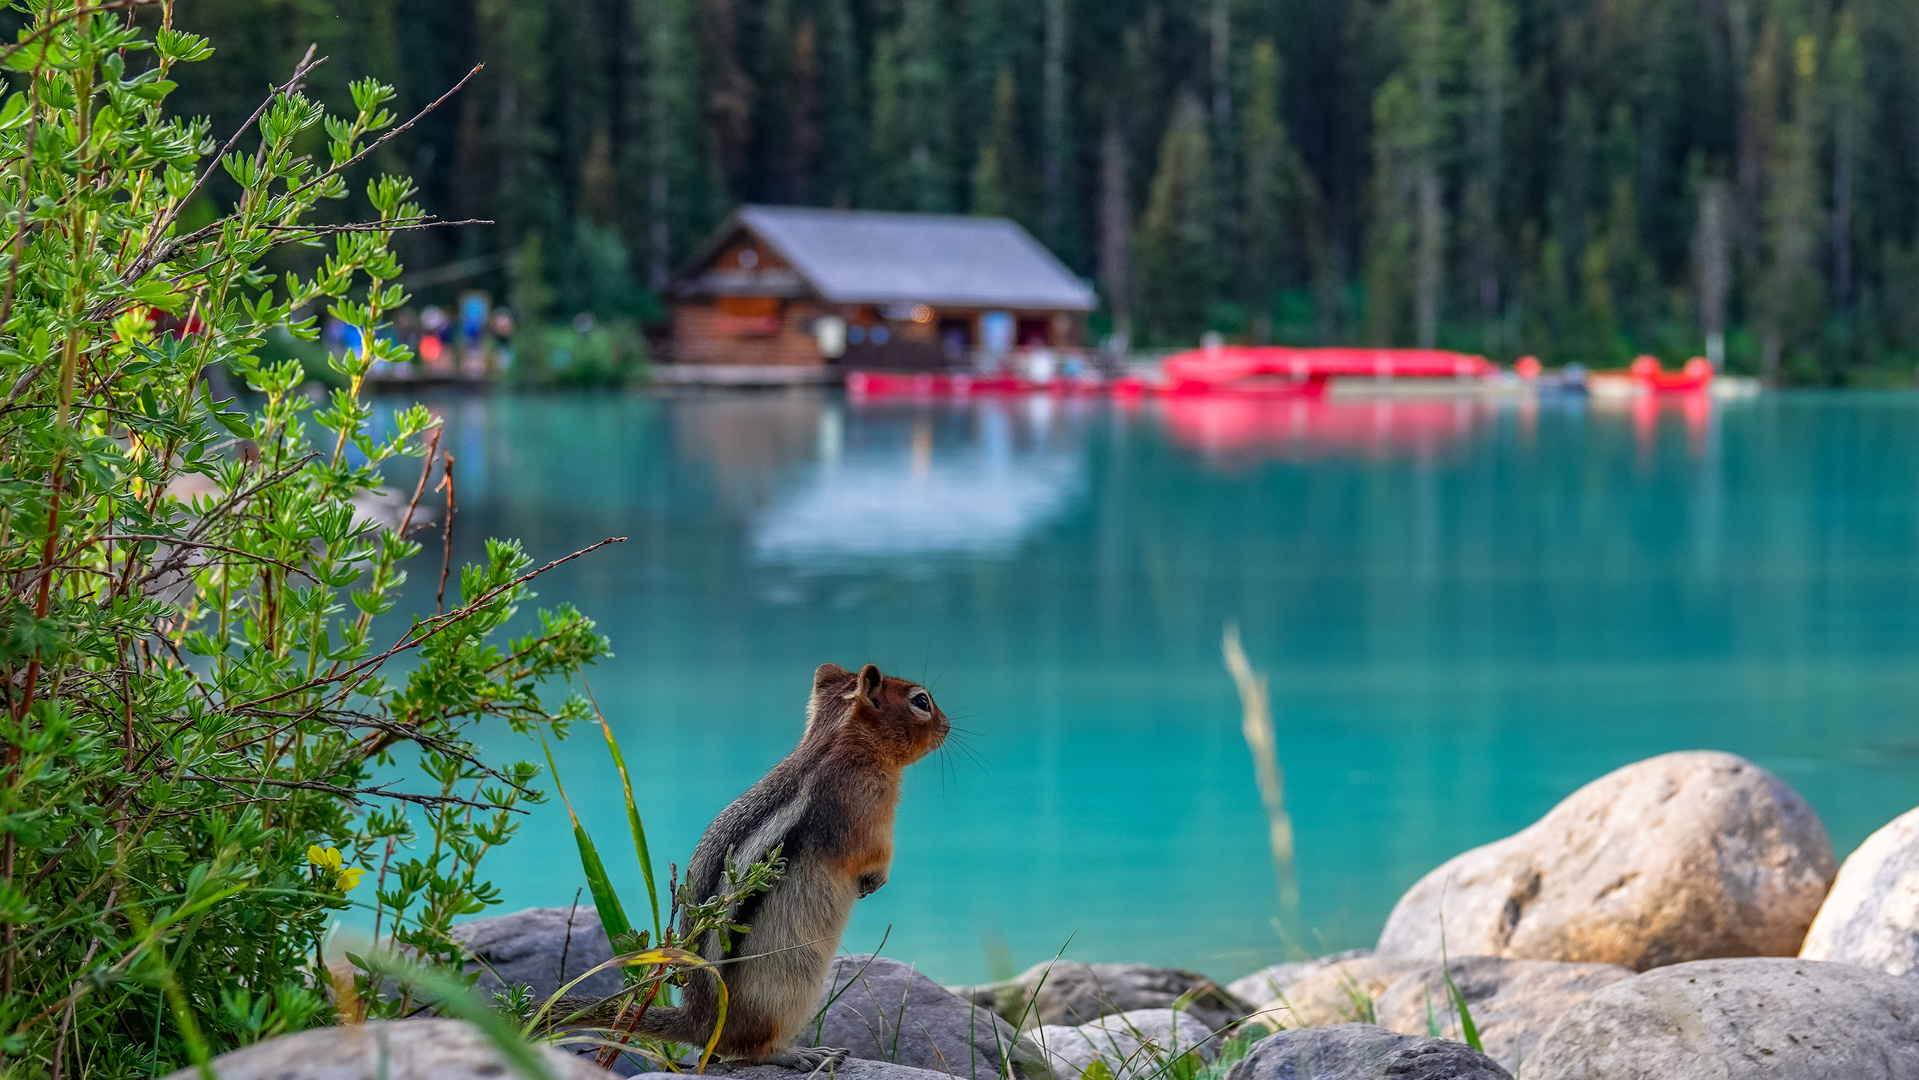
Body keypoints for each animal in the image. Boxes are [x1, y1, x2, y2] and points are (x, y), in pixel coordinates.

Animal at [591, 663, 944, 1066]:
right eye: (921, 702)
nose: (948, 726)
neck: (839, 741)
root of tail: (698, 1022)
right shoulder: (867, 815)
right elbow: (874, 855)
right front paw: (875, 881)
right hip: (782, 997)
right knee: (750, 1051)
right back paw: (798, 1054)